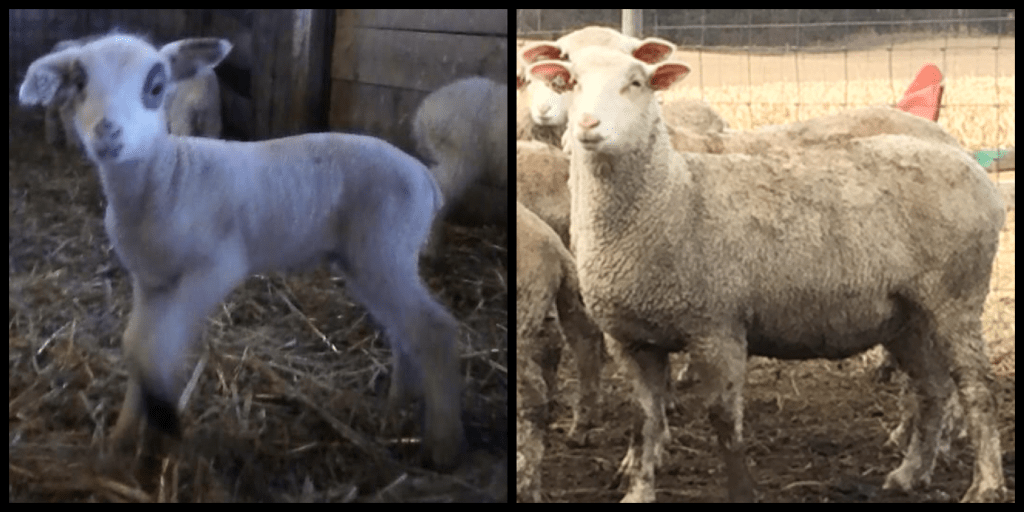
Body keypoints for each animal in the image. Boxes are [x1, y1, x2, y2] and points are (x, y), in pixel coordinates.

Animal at [19, 33, 465, 470]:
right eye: (79, 83)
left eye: (157, 88)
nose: (107, 133)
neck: (167, 176)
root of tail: (425, 177)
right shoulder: (150, 280)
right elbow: (134, 345)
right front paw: (124, 437)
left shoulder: (217, 267)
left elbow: (154, 347)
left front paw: (164, 419)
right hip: (366, 261)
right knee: (403, 331)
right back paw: (396, 408)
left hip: (385, 249)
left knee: (435, 329)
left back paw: (443, 446)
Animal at [516, 201, 603, 501]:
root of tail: (555, 249)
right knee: (584, 340)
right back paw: (582, 426)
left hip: (524, 313)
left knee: (531, 397)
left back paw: (526, 485)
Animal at [529, 46, 1006, 502]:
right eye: (571, 82)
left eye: (636, 83)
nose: (587, 125)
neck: (672, 195)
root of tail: (970, 165)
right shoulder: (631, 339)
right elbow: (644, 421)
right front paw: (639, 490)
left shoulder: (716, 324)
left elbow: (724, 421)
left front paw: (740, 492)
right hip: (906, 316)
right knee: (932, 389)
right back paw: (911, 473)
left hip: (955, 297)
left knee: (976, 390)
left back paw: (985, 485)